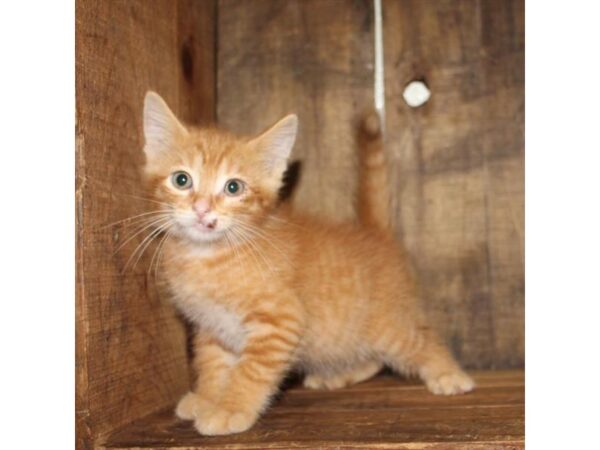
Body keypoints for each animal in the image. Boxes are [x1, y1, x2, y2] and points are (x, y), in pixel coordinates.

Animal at [141, 92, 474, 436]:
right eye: (182, 180)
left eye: (234, 187)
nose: (202, 209)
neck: (208, 255)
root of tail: (375, 234)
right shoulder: (211, 327)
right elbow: (212, 366)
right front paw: (207, 398)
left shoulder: (280, 321)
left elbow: (250, 371)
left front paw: (231, 409)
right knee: (373, 359)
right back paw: (339, 375)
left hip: (386, 325)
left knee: (420, 340)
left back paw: (449, 374)